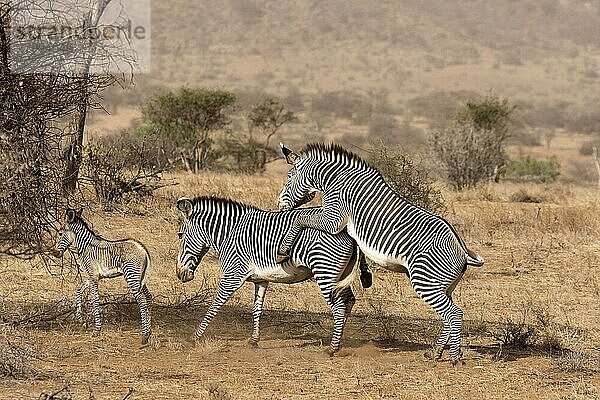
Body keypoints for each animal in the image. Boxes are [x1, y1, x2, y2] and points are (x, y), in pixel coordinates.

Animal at [55, 208, 152, 346]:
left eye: (60, 233)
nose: (55, 253)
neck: (86, 246)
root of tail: (143, 249)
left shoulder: (93, 276)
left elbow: (95, 300)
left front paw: (97, 330)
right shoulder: (92, 276)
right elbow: (79, 291)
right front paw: (81, 321)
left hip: (131, 276)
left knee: (142, 300)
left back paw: (144, 337)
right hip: (139, 278)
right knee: (148, 297)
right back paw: (148, 332)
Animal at [173, 195, 360, 354]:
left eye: (180, 235)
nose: (180, 274)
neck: (229, 233)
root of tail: (348, 233)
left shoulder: (233, 275)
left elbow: (214, 306)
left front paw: (195, 338)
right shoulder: (261, 280)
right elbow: (256, 309)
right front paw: (254, 341)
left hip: (324, 272)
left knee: (338, 306)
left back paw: (333, 348)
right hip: (339, 275)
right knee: (349, 300)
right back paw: (338, 339)